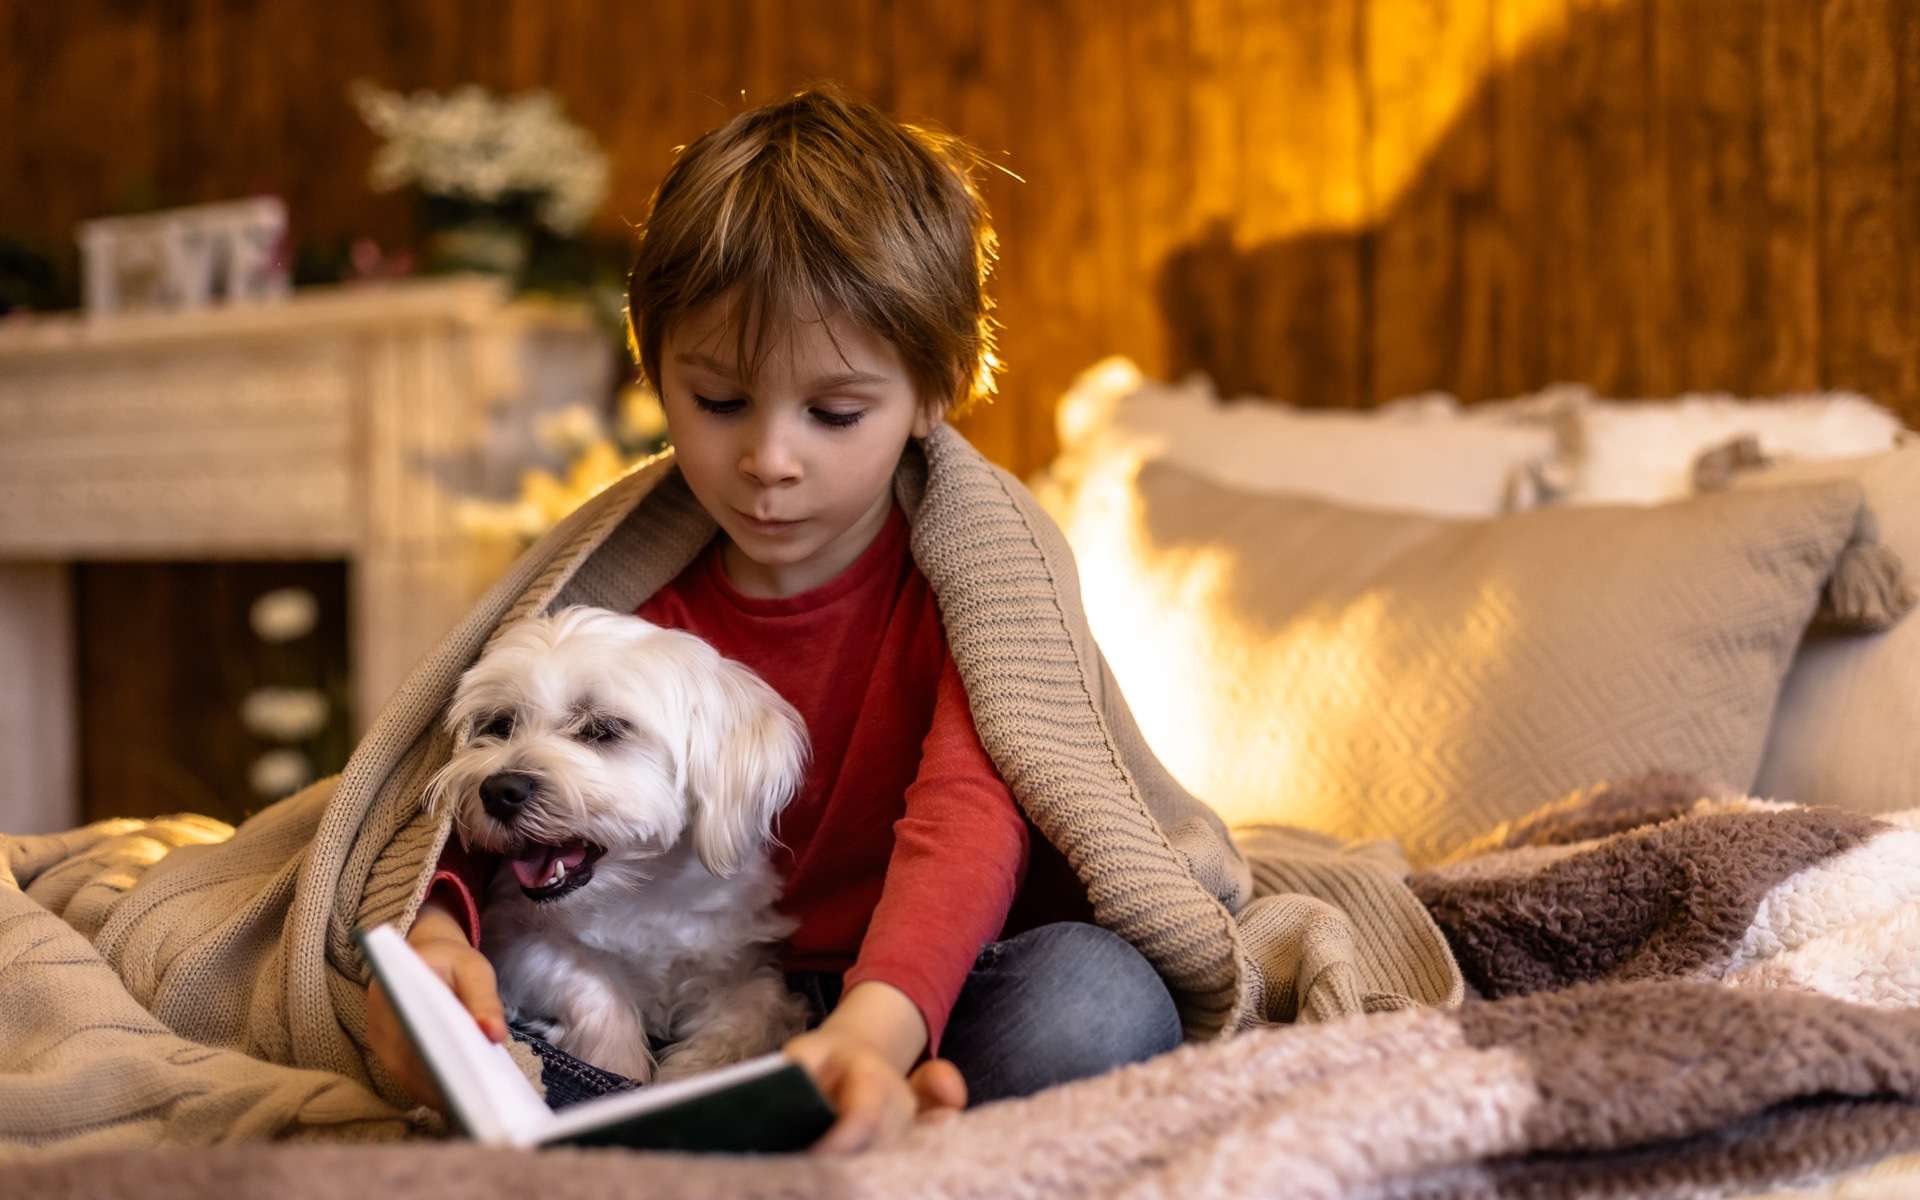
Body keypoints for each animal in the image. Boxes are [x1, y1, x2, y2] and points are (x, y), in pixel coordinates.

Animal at [428, 602, 810, 1082]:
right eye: (501, 724)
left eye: (603, 729)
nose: (498, 790)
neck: (640, 894)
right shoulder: (513, 935)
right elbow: (592, 986)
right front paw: (620, 1060)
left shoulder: (737, 961)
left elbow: (752, 1012)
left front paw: (693, 1071)